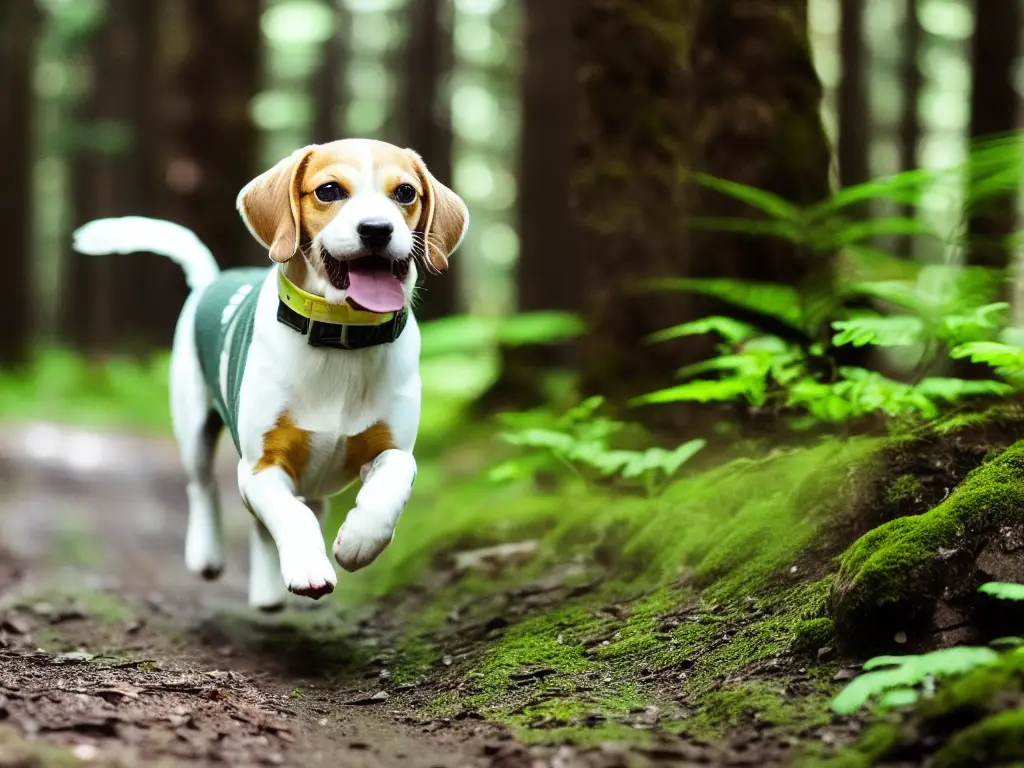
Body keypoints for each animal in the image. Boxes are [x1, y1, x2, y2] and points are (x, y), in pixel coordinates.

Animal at [74, 137, 468, 606]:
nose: (377, 229)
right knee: (204, 487)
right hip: (194, 427)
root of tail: (209, 282)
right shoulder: (260, 466)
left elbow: (392, 480)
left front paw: (359, 540)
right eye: (329, 190)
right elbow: (289, 516)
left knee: (300, 509)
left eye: (406, 192)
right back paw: (208, 555)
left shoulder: (393, 448)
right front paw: (308, 568)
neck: (341, 338)